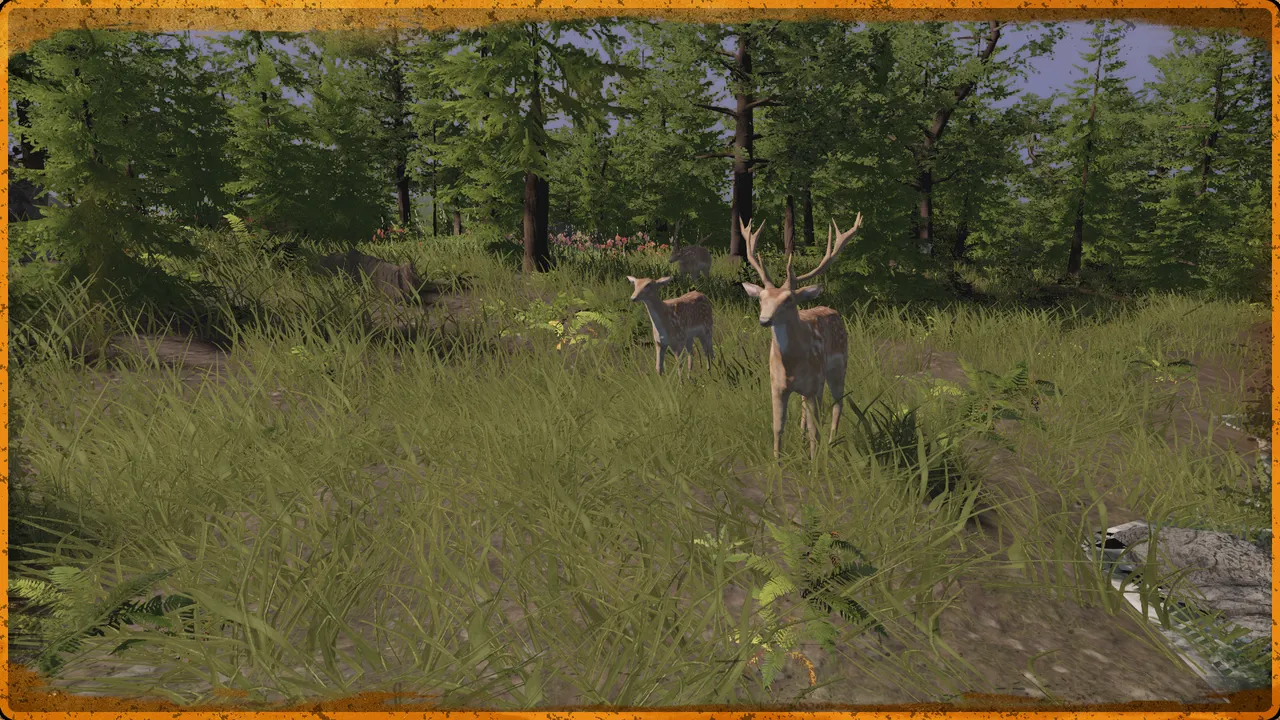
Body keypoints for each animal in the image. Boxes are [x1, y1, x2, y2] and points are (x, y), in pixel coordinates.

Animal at [739, 213, 863, 459]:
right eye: (761, 298)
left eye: (788, 299)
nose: (764, 320)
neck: (791, 366)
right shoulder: (776, 386)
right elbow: (777, 427)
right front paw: (776, 461)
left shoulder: (813, 384)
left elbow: (816, 430)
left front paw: (814, 462)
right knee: (809, 411)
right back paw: (803, 438)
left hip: (838, 368)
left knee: (837, 404)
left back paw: (832, 443)